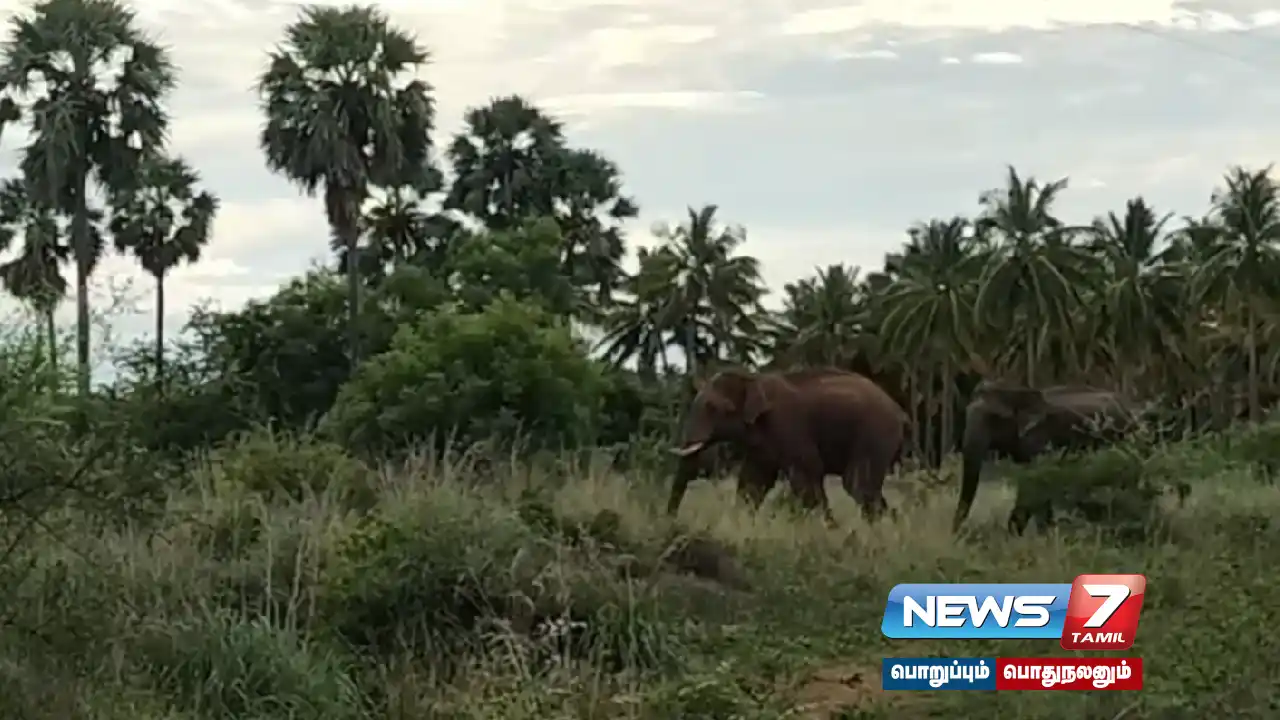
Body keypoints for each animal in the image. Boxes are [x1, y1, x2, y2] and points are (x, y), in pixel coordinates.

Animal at [666, 367, 909, 524]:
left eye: (714, 408)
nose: (672, 520)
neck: (754, 378)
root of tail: (899, 412)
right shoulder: (762, 444)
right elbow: (753, 482)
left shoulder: (789, 425)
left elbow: (808, 474)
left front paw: (829, 528)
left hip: (875, 435)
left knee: (858, 485)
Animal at [952, 380, 1137, 533]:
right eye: (966, 412)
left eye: (994, 418)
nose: (957, 534)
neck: (1017, 391)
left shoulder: (1040, 438)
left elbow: (1034, 487)